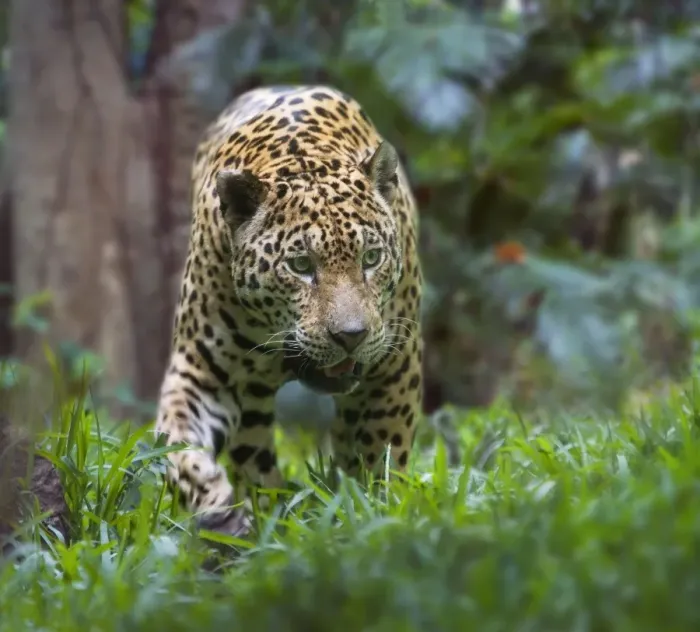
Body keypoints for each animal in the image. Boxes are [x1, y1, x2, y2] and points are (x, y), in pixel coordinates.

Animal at [154, 84, 423, 533]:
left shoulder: (395, 363)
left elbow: (381, 451)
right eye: (300, 267)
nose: (351, 337)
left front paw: (374, 510)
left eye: (371, 258)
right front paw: (215, 505)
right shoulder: (202, 371)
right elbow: (173, 440)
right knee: (252, 452)